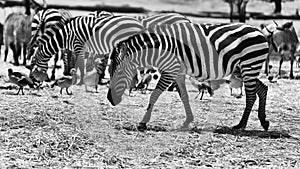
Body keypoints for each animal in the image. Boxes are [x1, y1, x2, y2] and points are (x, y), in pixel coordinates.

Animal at [107, 21, 270, 131]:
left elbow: (154, 95)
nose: (110, 99)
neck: (160, 47)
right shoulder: (178, 73)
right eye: (109, 71)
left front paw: (143, 122)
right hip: (242, 69)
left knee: (251, 95)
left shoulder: (170, 71)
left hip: (249, 65)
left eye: (119, 72)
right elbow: (184, 96)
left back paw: (241, 124)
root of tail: (259, 31)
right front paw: (188, 121)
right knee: (262, 88)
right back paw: (263, 121)